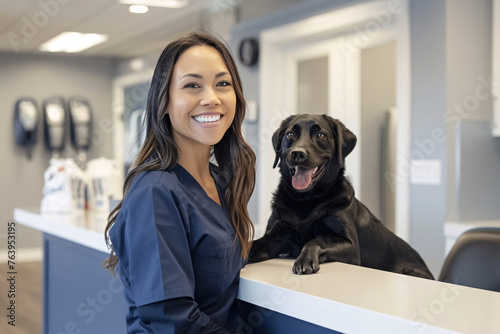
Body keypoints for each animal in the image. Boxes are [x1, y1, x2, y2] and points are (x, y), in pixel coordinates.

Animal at [249, 115, 434, 280]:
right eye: (290, 134)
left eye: (321, 135)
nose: (297, 154)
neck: (306, 200)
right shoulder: (275, 237)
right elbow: (253, 245)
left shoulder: (350, 246)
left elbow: (316, 240)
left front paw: (305, 259)